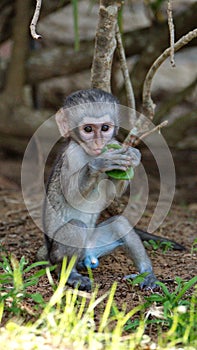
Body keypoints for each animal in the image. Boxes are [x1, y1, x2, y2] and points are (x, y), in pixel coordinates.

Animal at [43, 89, 157, 292]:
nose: (98, 143)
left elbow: (113, 193)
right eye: (88, 129)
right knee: (76, 227)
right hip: (55, 252)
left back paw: (146, 273)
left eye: (105, 128)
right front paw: (98, 164)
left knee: (120, 224)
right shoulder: (71, 155)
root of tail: (87, 256)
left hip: (94, 245)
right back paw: (70, 275)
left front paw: (133, 157)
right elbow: (72, 196)